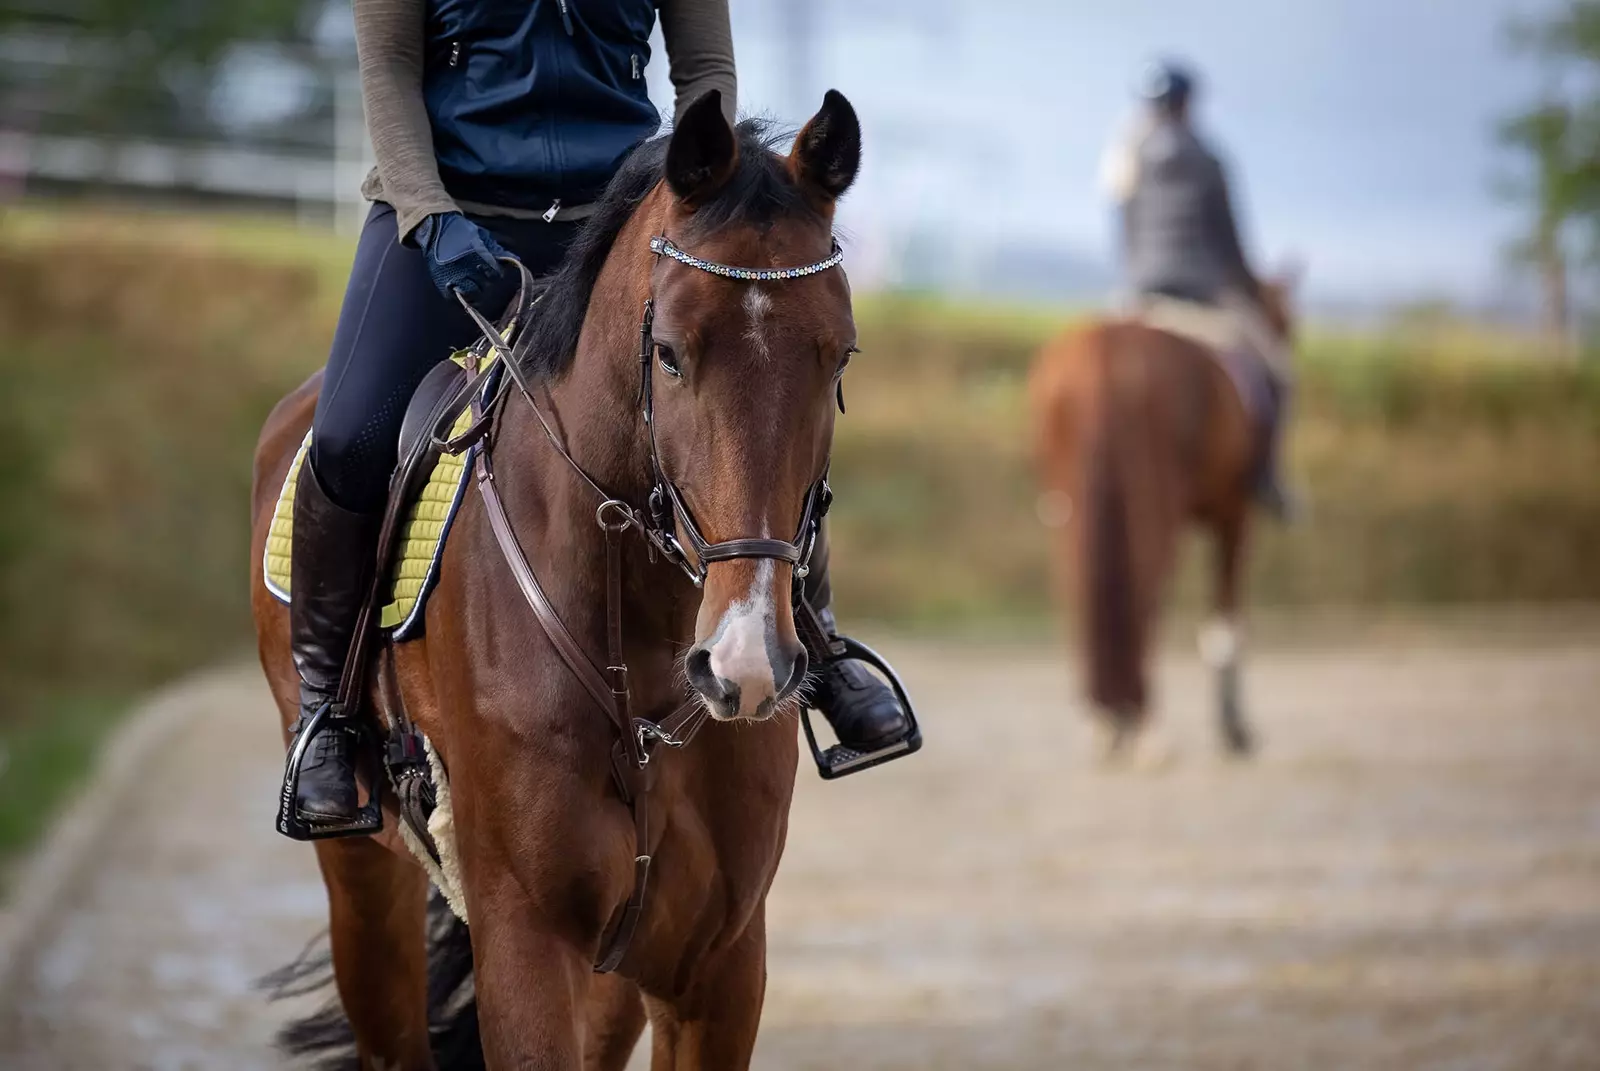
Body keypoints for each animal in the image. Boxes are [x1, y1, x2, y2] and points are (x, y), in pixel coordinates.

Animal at [1030, 280, 1292, 765]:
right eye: (1285, 321)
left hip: (1073, 506)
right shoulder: (1235, 515)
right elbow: (1225, 617)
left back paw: (1107, 724)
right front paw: (1234, 730)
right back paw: (1144, 728)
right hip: (1156, 505)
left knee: (1082, 592)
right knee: (1145, 597)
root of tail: (1108, 347)